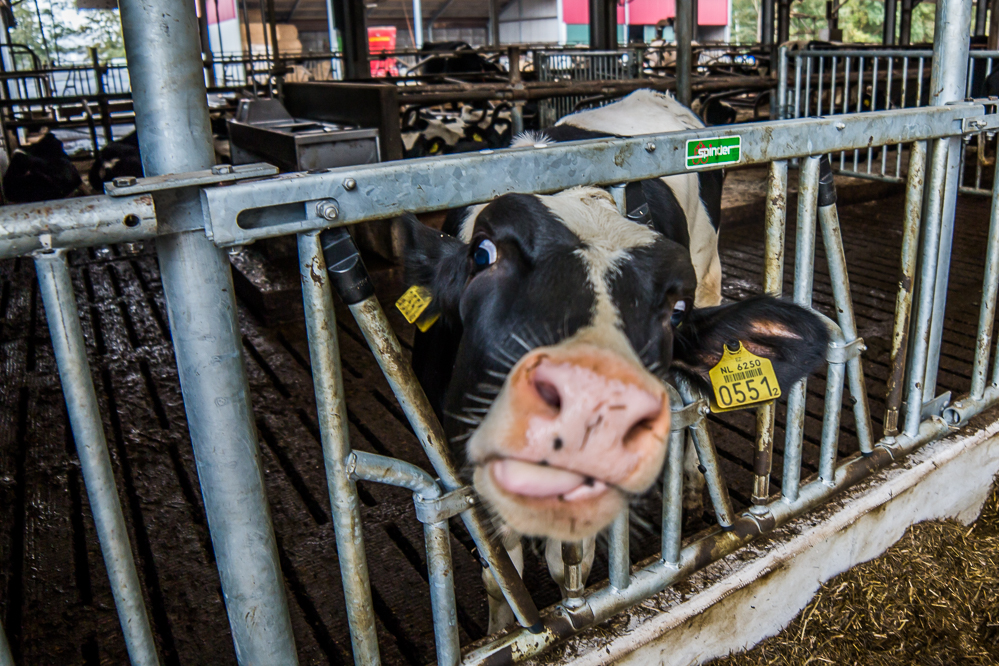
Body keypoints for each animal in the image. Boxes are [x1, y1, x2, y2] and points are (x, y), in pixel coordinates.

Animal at [396, 89, 828, 632]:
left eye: (675, 311)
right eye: (483, 255)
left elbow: (568, 563)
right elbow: (501, 576)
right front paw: (502, 632)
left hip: (711, 265)